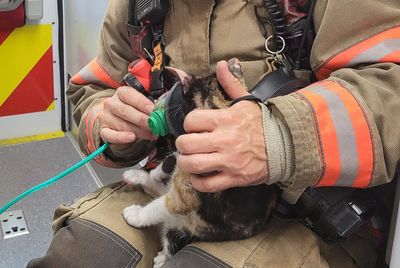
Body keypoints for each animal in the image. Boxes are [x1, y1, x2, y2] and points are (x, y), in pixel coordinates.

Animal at [122, 58, 278, 268]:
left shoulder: (187, 196)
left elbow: (163, 206)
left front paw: (137, 216)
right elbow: (170, 162)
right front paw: (155, 172)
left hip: (185, 227)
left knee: (169, 222)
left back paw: (161, 258)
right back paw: (136, 176)